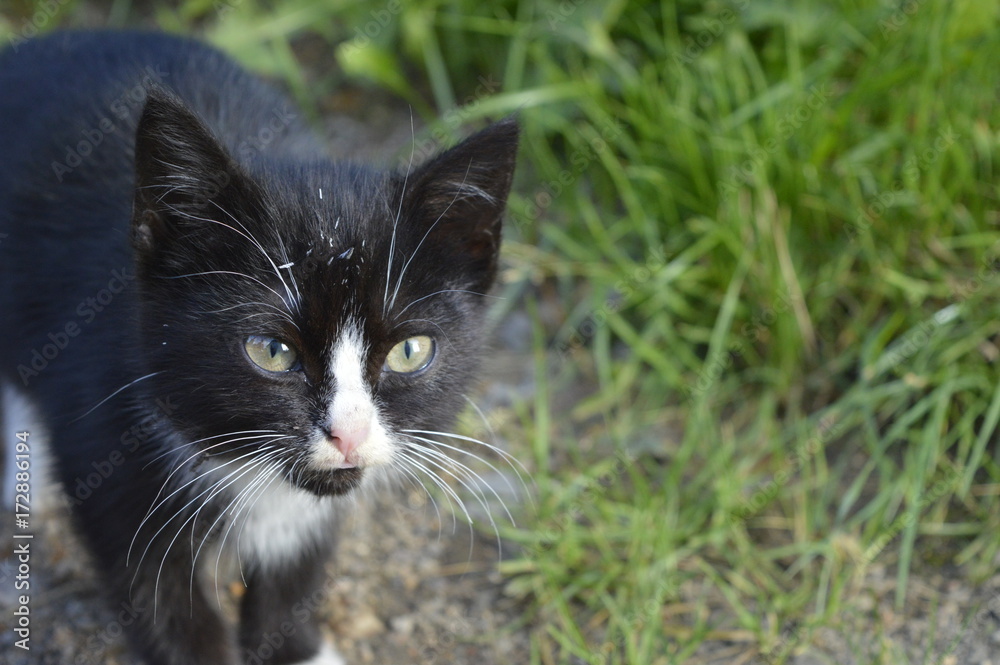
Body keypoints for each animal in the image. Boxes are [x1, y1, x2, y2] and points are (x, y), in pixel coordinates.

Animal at [0, 28, 516, 660]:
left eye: (409, 352)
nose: (350, 434)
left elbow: (294, 559)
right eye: (272, 351)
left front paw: (296, 648)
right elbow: (154, 592)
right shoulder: (104, 442)